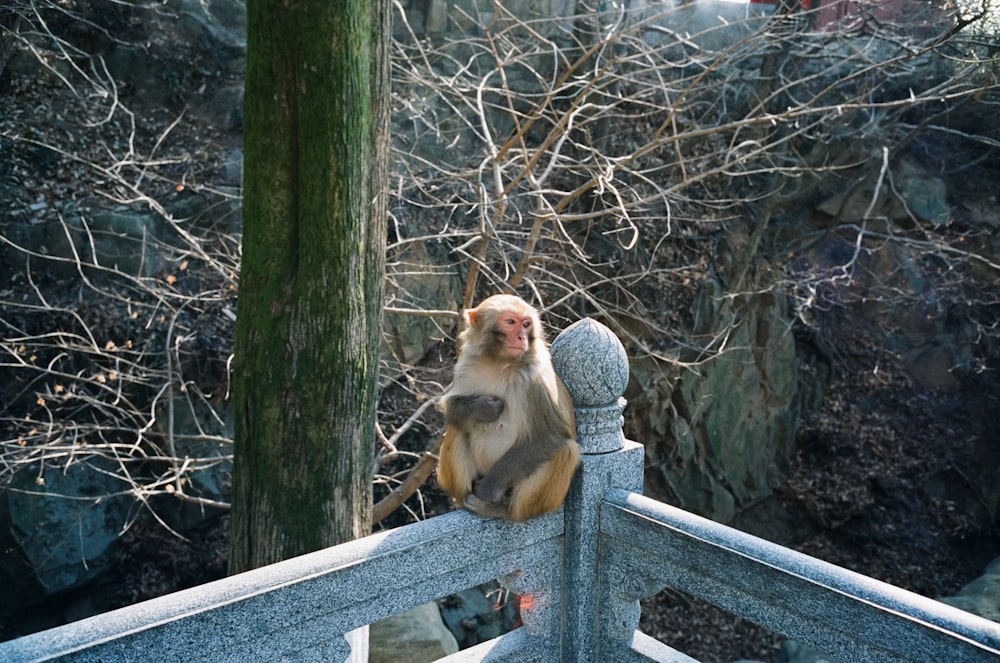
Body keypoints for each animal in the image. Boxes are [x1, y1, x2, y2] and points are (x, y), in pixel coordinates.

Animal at [436, 294, 580, 520]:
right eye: (510, 322)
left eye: (526, 324)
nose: (521, 337)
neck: (499, 364)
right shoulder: (465, 364)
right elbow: (450, 408)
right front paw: (482, 409)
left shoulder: (536, 380)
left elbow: (551, 435)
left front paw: (489, 488)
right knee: (456, 429)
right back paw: (461, 500)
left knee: (566, 450)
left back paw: (502, 510)